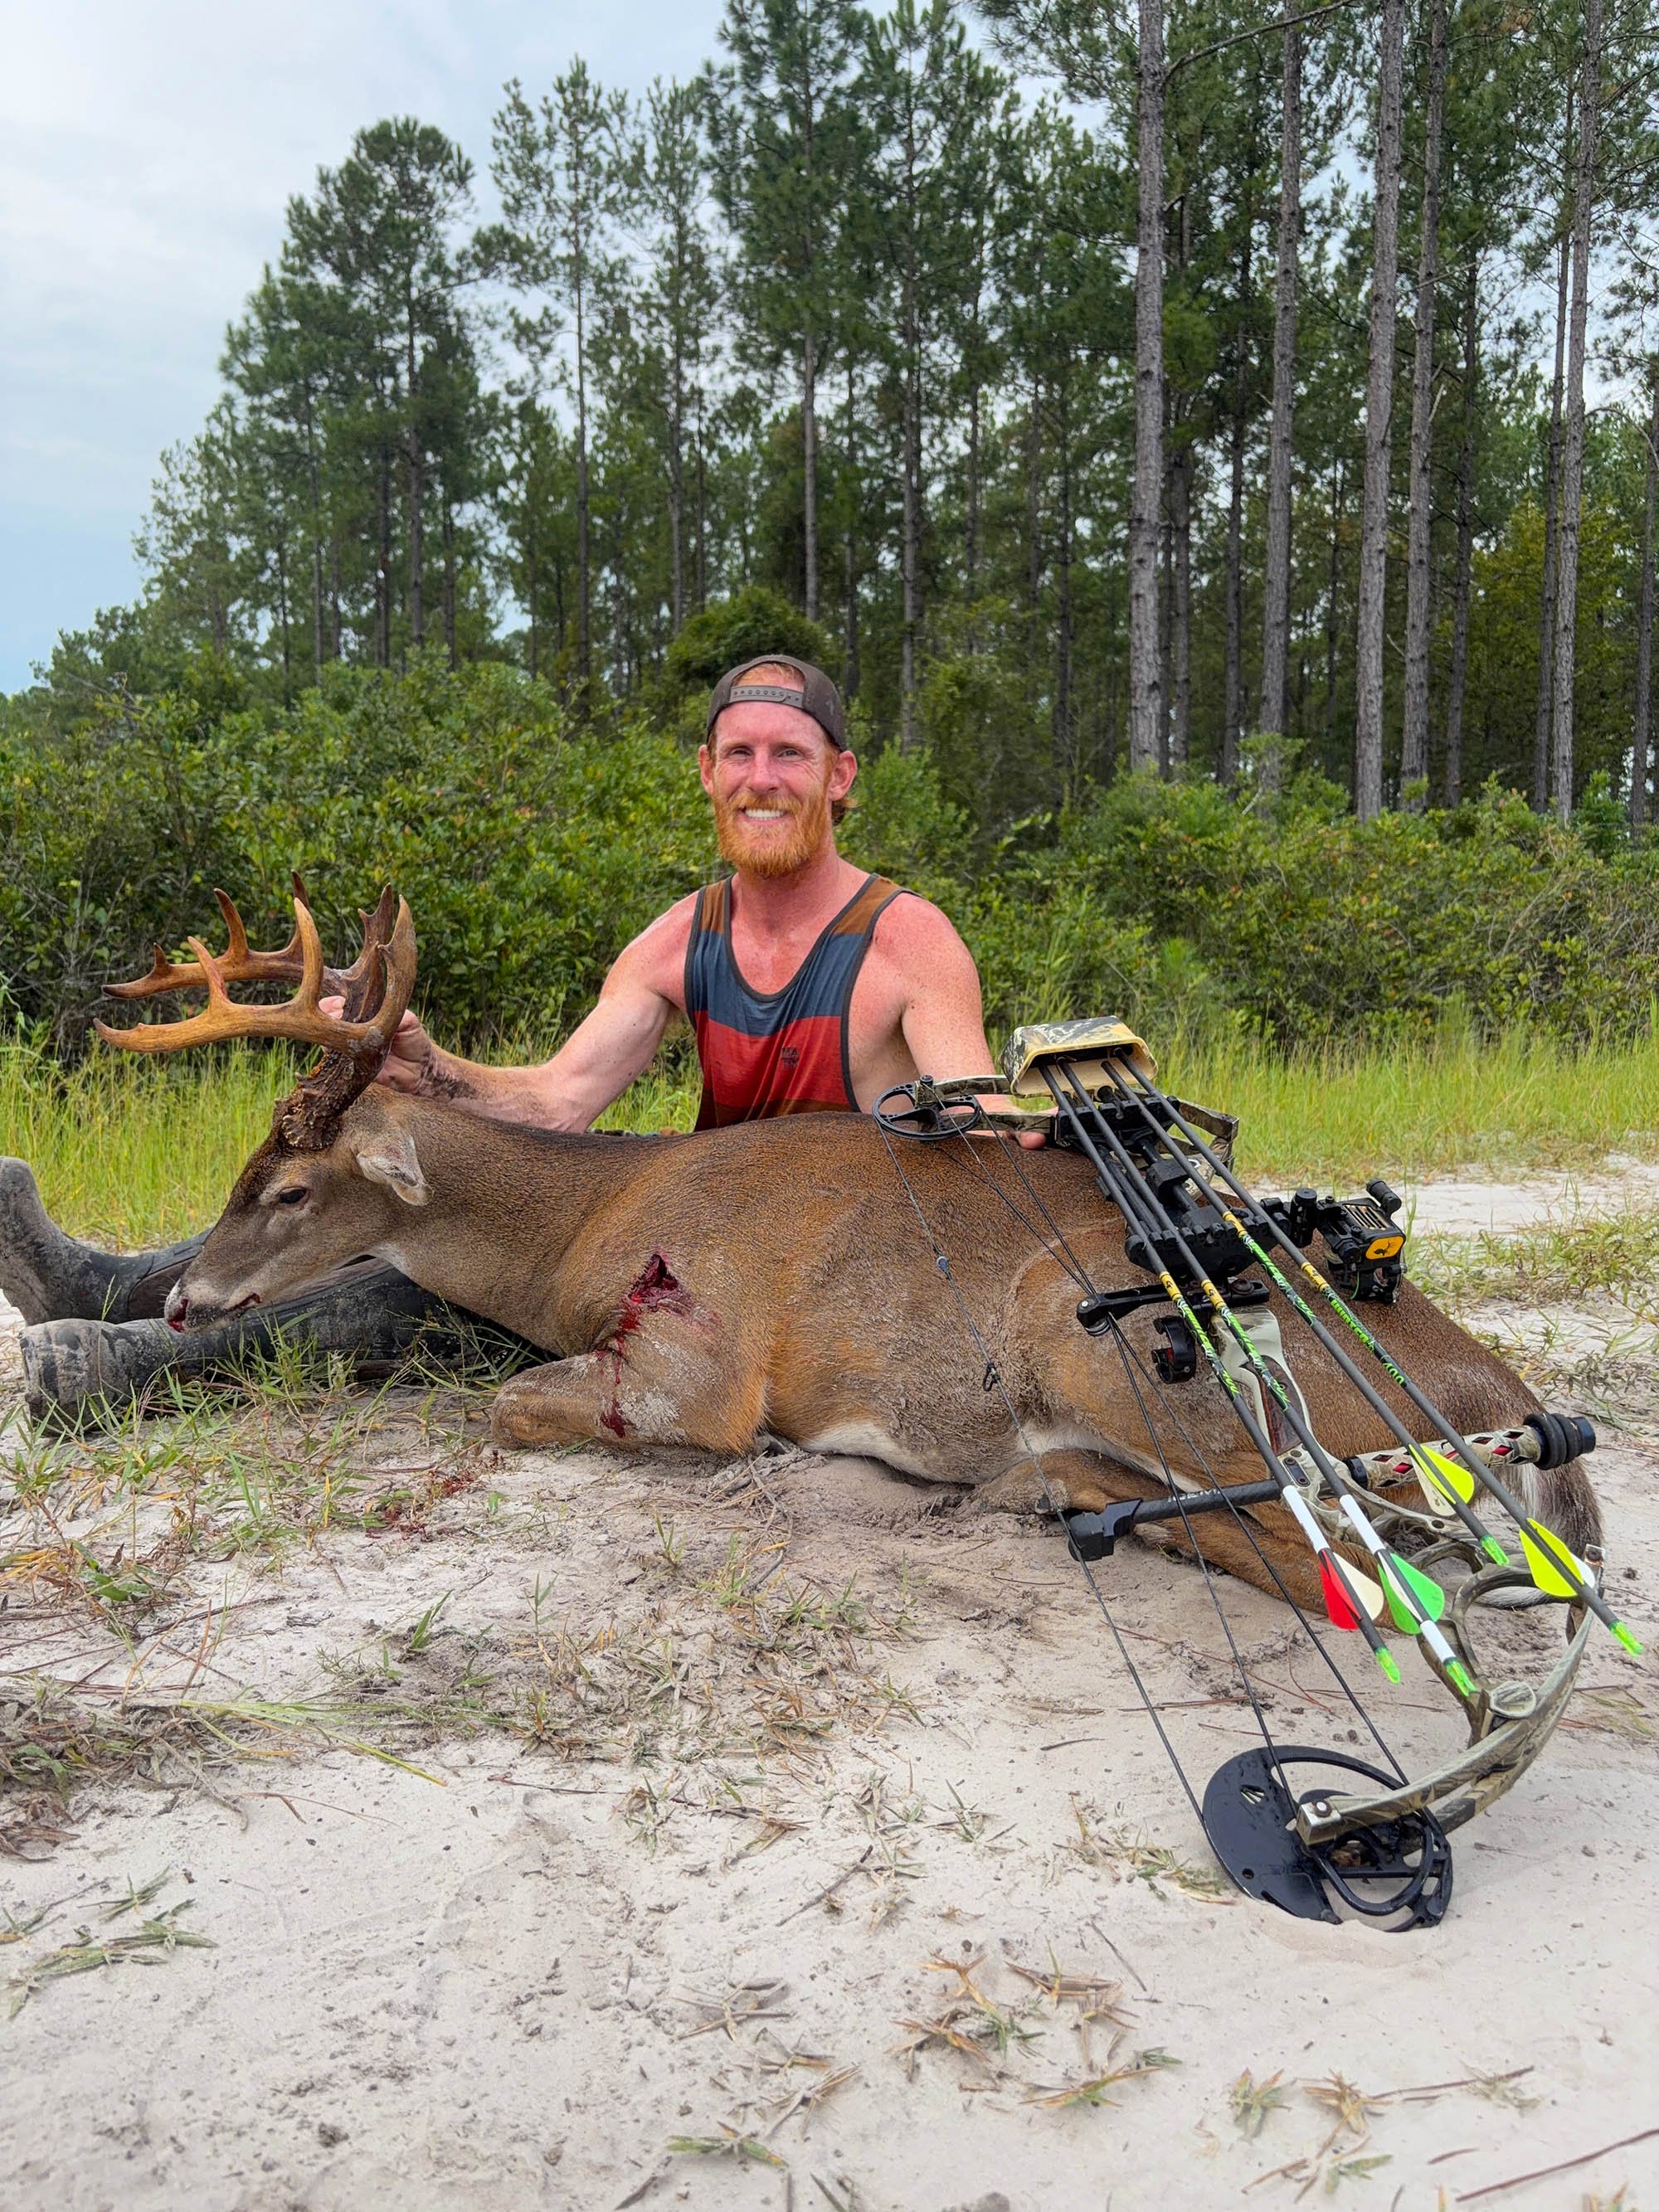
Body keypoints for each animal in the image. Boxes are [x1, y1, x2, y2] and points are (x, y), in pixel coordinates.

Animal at [97, 885, 1602, 1615]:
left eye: (290, 1185)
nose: (183, 1300)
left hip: (1104, 1332)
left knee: (1355, 1572)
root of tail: (1516, 1408)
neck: (590, 1220)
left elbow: (510, 1404)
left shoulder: (700, 1365)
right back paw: (1037, 1488)